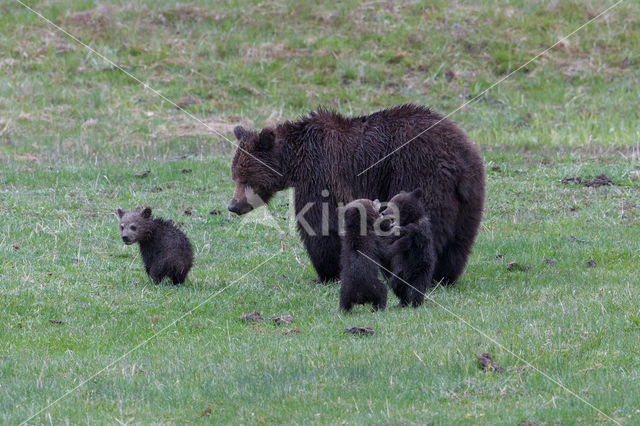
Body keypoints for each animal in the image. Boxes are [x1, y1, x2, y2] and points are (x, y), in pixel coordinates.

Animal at [228, 103, 482, 282]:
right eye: (235, 176)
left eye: (245, 178)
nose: (233, 205)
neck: (295, 162)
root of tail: (458, 161)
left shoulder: (320, 175)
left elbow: (319, 222)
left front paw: (328, 272)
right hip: (469, 194)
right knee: (460, 237)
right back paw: (444, 275)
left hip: (419, 173)